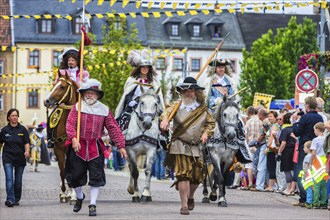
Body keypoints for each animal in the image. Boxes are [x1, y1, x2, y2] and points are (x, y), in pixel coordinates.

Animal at [43, 72, 78, 203]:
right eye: (54, 84)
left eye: (62, 87)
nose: (46, 101)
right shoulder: (58, 150)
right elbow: (63, 172)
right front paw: (63, 194)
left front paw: (74, 195)